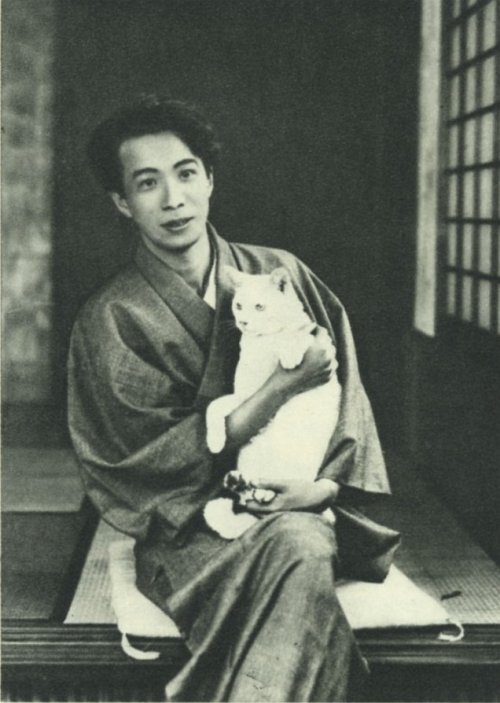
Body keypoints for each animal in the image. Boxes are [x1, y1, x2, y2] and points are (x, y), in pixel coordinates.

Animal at [202, 266, 340, 540]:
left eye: (259, 307)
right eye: (239, 305)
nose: (243, 322)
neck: (261, 342)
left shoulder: (310, 335)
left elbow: (293, 337)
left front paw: (289, 353)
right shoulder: (245, 395)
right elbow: (212, 408)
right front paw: (215, 441)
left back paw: (261, 491)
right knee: (247, 496)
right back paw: (238, 483)